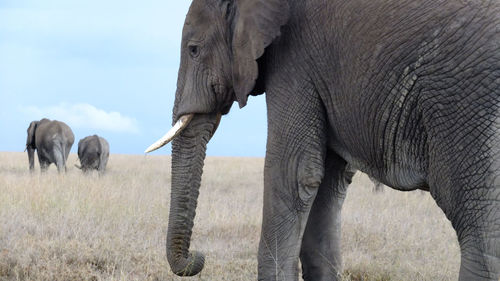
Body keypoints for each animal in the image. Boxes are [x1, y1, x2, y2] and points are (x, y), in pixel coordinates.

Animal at [145, 1, 500, 278]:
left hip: (466, 103)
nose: (198, 258)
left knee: (479, 231)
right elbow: (326, 184)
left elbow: (293, 173)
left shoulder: (293, 61)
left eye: (193, 50)